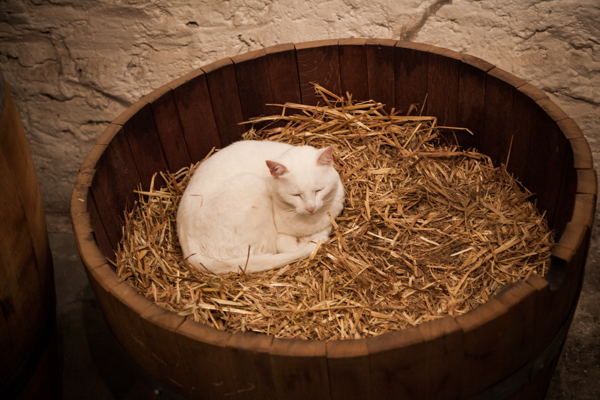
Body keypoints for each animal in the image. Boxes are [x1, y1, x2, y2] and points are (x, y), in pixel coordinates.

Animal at [177, 140, 345, 275]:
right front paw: (316, 237)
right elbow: (292, 246)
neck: (313, 222)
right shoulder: (281, 238)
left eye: (318, 190)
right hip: (251, 183)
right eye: (296, 195)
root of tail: (189, 250)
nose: (310, 208)